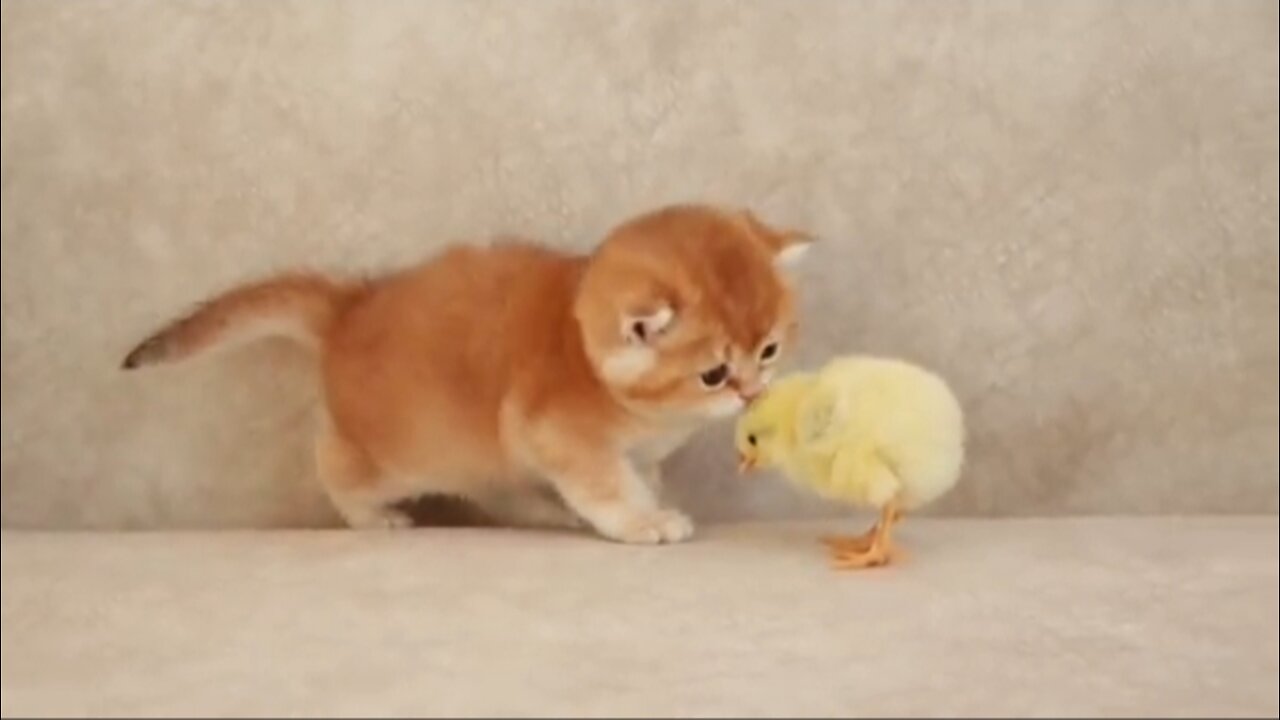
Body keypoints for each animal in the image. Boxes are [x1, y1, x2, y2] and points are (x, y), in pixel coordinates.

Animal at [127, 204, 808, 540]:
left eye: (769, 351)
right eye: (714, 374)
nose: (753, 391)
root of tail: (350, 306)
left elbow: (637, 474)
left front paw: (652, 499)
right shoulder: (557, 433)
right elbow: (609, 487)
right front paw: (646, 521)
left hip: (484, 454)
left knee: (497, 491)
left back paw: (548, 514)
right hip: (401, 454)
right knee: (334, 464)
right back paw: (372, 518)